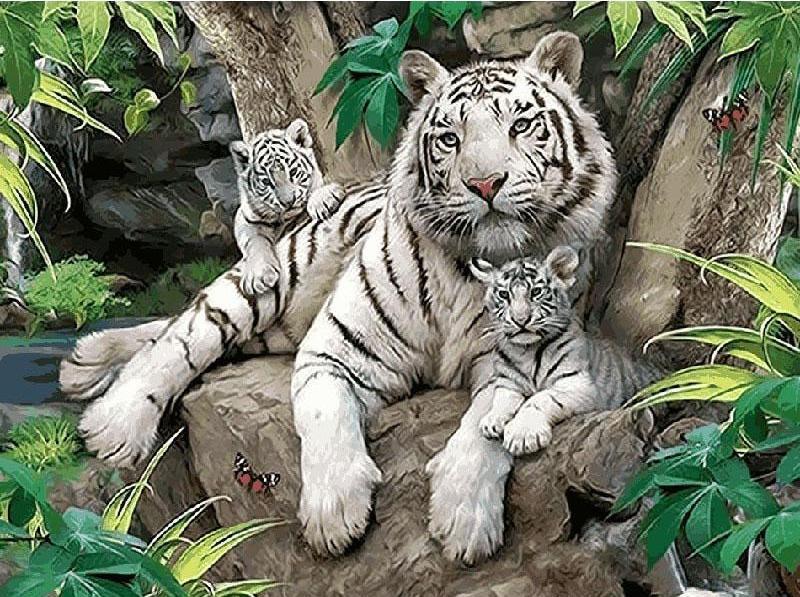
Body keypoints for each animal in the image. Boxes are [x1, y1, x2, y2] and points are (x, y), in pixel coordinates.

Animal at [231, 118, 343, 295]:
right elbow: (254, 241)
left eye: (293, 172)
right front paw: (259, 275)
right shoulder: (245, 217)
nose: (288, 201)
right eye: (266, 182)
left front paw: (322, 201)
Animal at [470, 246, 661, 456]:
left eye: (536, 292)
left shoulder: (578, 384)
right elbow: (502, 399)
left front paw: (523, 435)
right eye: (504, 295)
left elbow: (539, 399)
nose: (520, 320)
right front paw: (491, 420)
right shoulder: (508, 382)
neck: (526, 351)